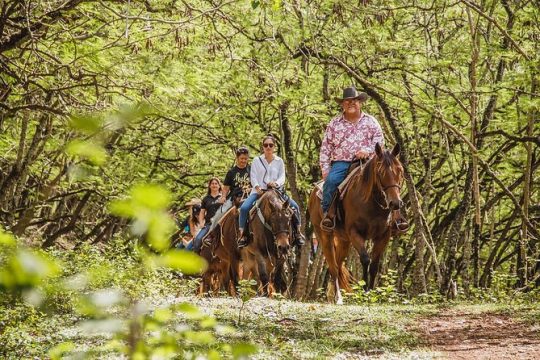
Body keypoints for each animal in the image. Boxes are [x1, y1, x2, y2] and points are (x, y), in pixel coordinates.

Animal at [308, 143, 404, 304]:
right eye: (380, 172)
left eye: (400, 171)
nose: (395, 203)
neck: (371, 203)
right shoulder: (355, 233)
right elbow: (365, 260)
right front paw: (364, 292)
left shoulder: (383, 236)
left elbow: (374, 265)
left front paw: (372, 293)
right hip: (324, 236)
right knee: (333, 267)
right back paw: (338, 298)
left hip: (343, 240)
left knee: (338, 265)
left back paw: (333, 294)